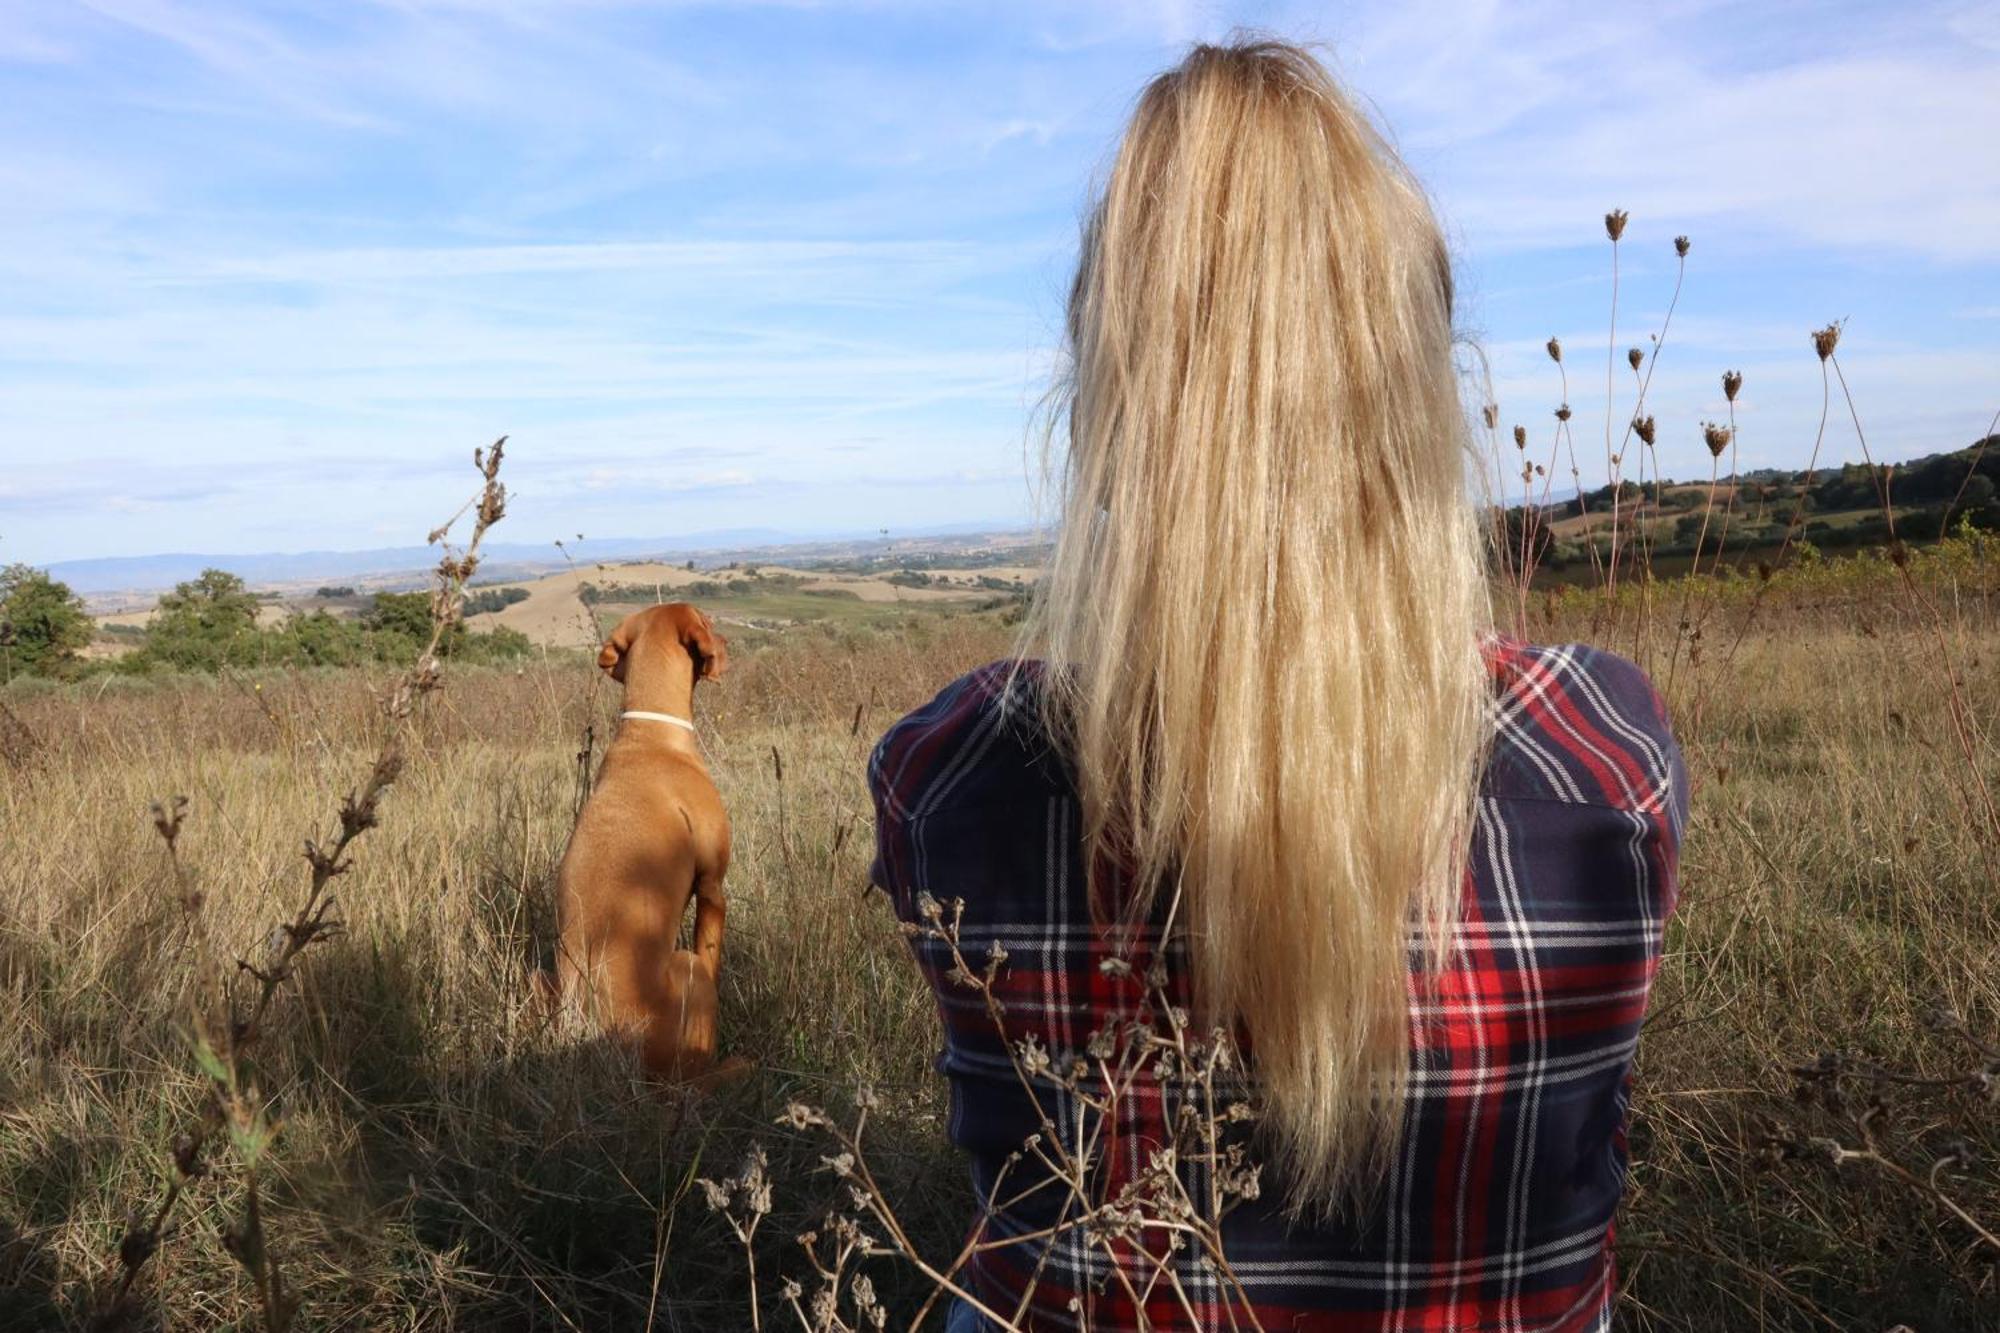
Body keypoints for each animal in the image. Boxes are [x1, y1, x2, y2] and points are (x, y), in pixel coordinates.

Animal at [552, 600, 732, 1080]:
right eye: (707, 620)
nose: (728, 641)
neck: (649, 734)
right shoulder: (713, 886)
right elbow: (713, 949)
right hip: (688, 971)